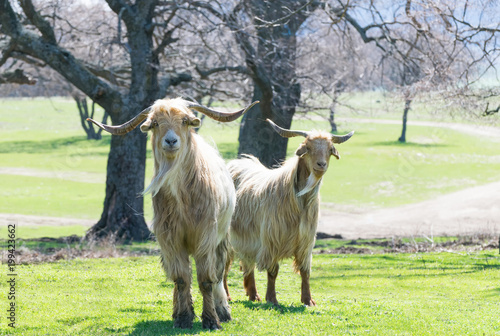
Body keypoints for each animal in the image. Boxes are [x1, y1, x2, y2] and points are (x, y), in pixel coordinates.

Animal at [88, 97, 258, 328]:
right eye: (155, 123)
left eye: (185, 121)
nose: (170, 141)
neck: (183, 200)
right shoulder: (169, 237)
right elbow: (181, 279)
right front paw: (184, 318)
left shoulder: (206, 236)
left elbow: (206, 279)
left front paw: (211, 320)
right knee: (180, 276)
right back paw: (179, 311)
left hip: (221, 239)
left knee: (218, 273)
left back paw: (223, 310)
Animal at [225, 119, 354, 308]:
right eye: (308, 147)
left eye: (330, 148)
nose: (321, 165)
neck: (299, 201)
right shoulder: (272, 240)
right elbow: (273, 271)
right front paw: (272, 299)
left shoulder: (306, 242)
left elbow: (305, 271)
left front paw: (308, 300)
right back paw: (227, 296)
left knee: (247, 264)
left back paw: (253, 295)